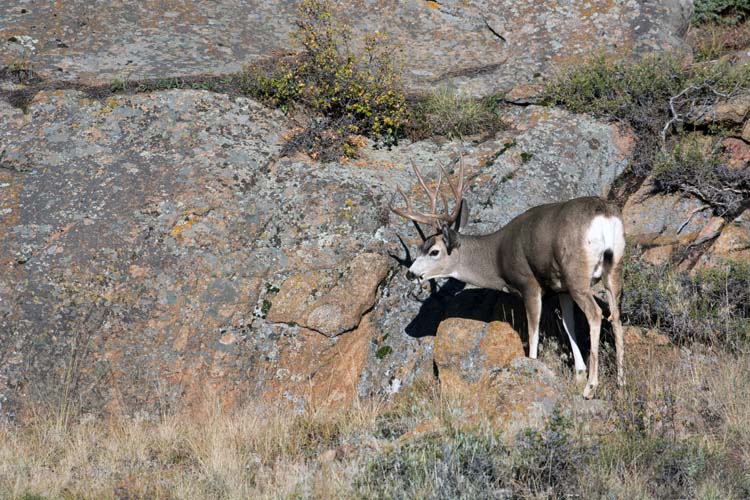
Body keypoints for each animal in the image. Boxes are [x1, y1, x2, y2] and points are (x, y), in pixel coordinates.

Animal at [390, 153, 632, 398]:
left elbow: (533, 331)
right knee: (616, 316)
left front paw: (534, 368)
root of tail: (604, 215)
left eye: (434, 251)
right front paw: (579, 373)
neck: (497, 257)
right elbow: (568, 324)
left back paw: (590, 388)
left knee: (596, 314)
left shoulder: (529, 284)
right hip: (613, 268)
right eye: (420, 248)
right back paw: (621, 384)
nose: (410, 273)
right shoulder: (561, 287)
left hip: (577, 275)